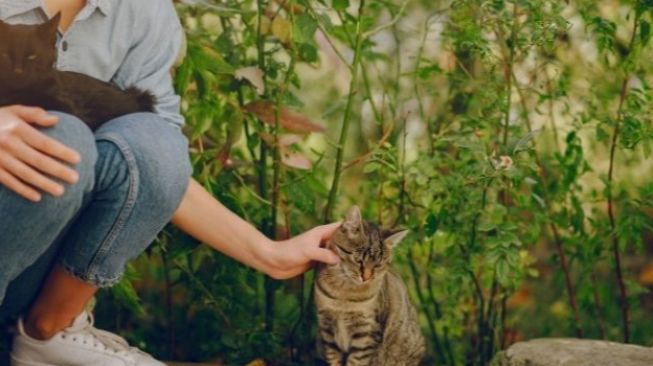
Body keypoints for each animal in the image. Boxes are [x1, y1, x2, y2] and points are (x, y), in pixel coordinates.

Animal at [314, 207, 426, 364]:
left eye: (378, 265)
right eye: (359, 260)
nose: (366, 277)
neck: (344, 295)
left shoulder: (367, 332)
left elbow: (356, 361)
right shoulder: (326, 326)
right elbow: (333, 358)